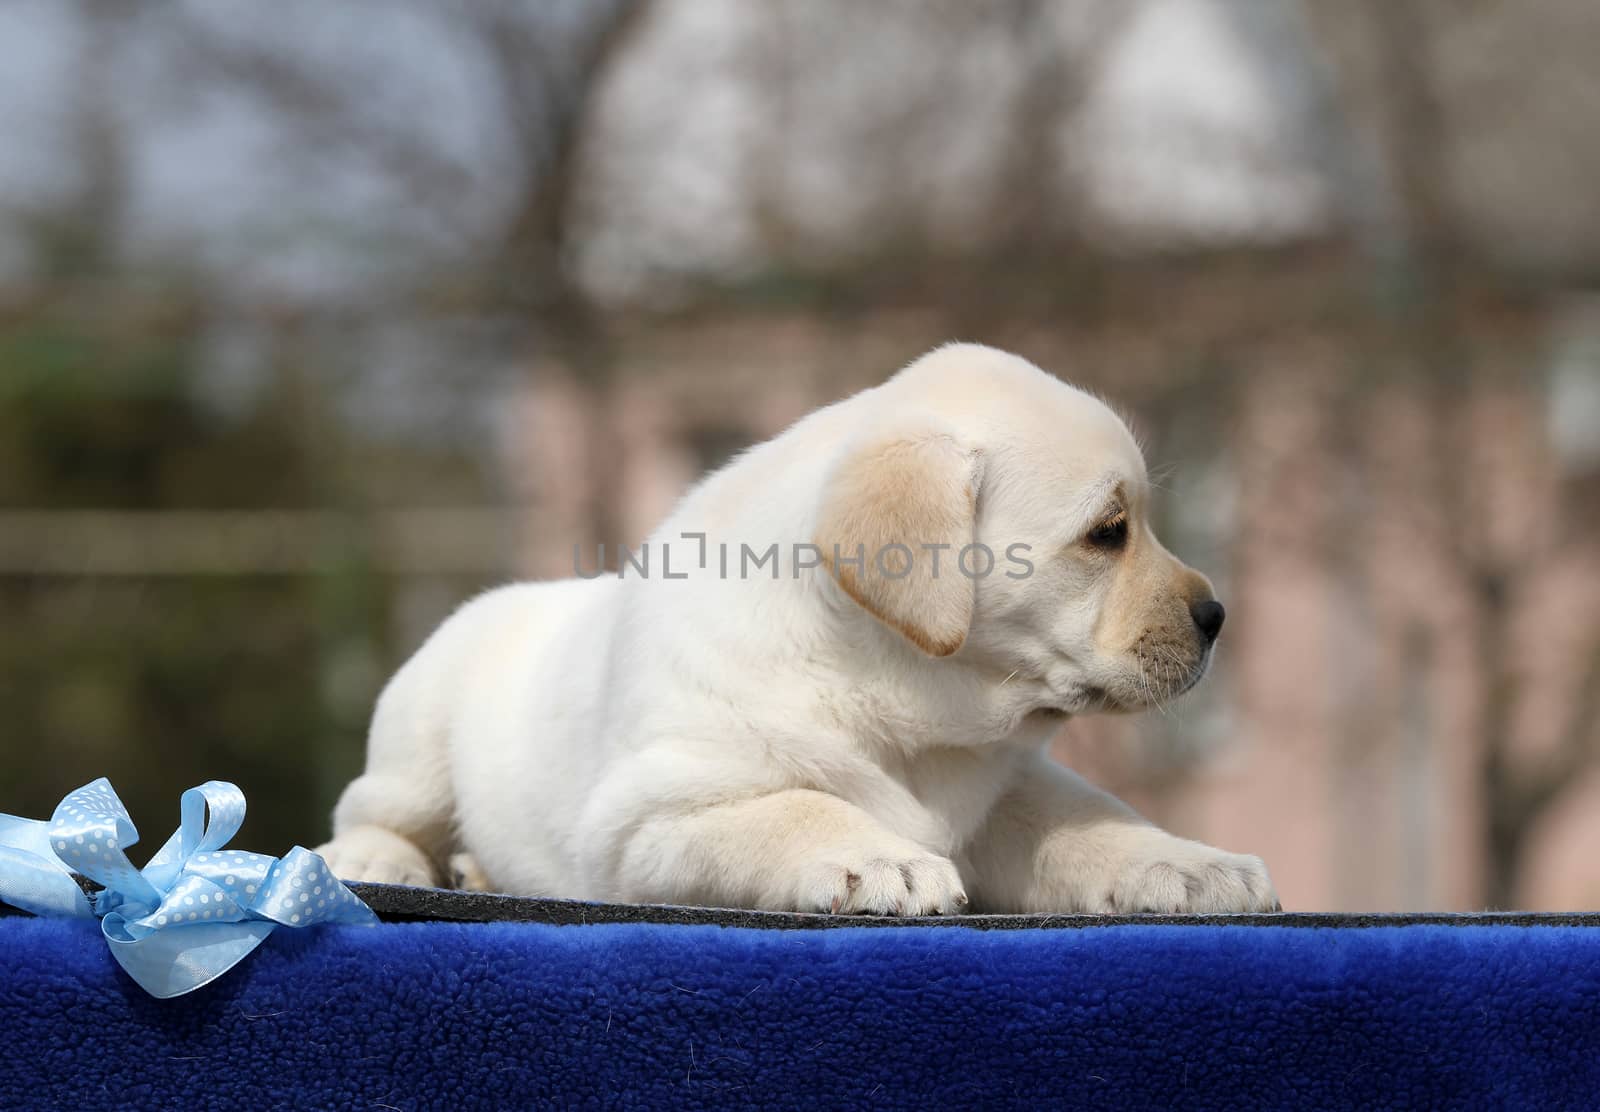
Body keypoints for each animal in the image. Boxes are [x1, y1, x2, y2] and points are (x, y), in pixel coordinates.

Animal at [318, 345, 1280, 915]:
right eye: (1108, 532)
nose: (1217, 617)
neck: (906, 703)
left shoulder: (1005, 787)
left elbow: (1091, 819)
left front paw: (1192, 866)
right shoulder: (648, 818)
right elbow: (795, 806)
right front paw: (881, 861)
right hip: (417, 734)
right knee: (367, 813)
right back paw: (392, 863)